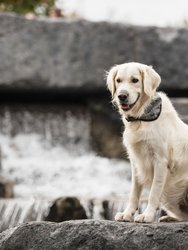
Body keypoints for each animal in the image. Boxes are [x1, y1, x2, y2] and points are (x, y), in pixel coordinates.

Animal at [106, 62, 188, 223]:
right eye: (118, 80)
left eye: (135, 80)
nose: (122, 96)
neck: (141, 118)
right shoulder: (135, 162)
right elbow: (134, 193)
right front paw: (127, 214)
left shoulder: (160, 161)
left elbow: (154, 193)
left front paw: (147, 215)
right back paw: (169, 218)